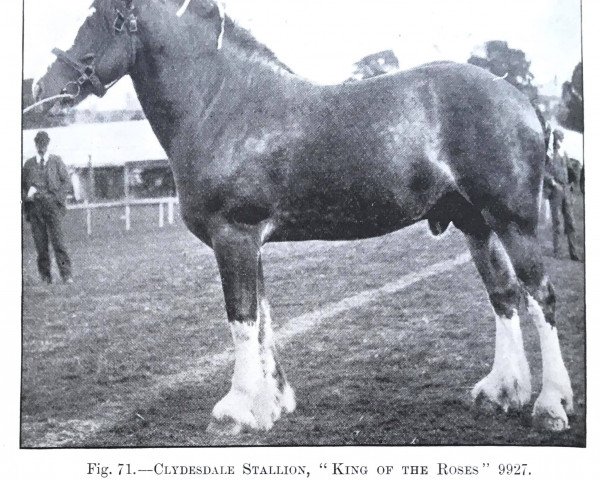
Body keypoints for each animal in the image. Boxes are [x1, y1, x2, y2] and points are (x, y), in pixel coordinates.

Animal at [35, 0, 576, 436]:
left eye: (103, 19)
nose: (44, 87)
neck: (220, 103)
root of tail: (522, 101)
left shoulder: (235, 235)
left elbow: (241, 317)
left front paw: (234, 410)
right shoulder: (249, 242)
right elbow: (263, 319)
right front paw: (271, 404)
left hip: (512, 222)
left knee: (540, 297)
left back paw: (550, 405)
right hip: (476, 224)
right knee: (503, 296)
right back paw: (501, 392)